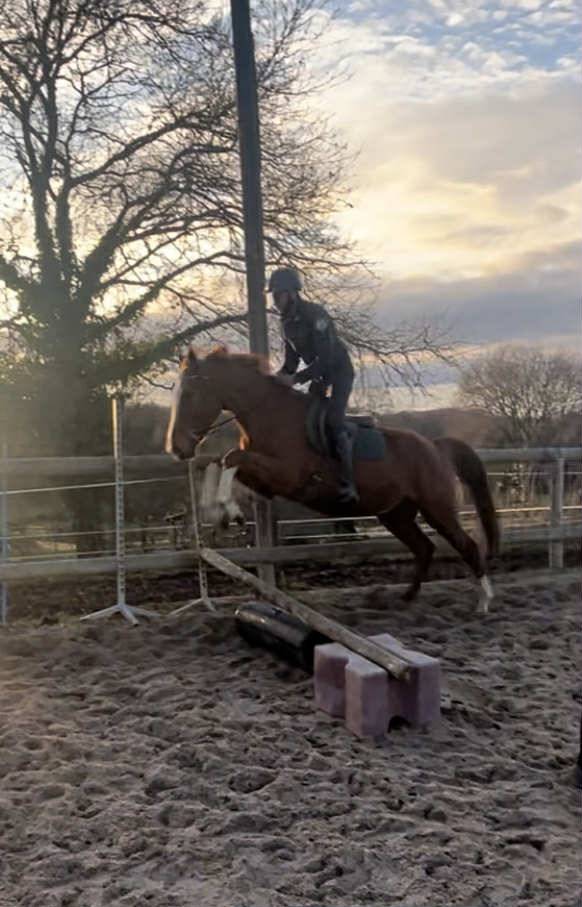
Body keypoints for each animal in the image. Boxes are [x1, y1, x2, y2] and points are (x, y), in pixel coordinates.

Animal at [166, 346, 499, 611]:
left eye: (191, 394)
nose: (176, 448)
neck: (271, 415)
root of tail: (435, 447)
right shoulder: (264, 479)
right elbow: (219, 461)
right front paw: (218, 513)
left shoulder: (287, 476)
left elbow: (230, 458)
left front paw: (226, 510)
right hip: (396, 515)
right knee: (424, 548)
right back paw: (407, 597)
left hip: (437, 509)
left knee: (467, 545)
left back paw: (483, 602)